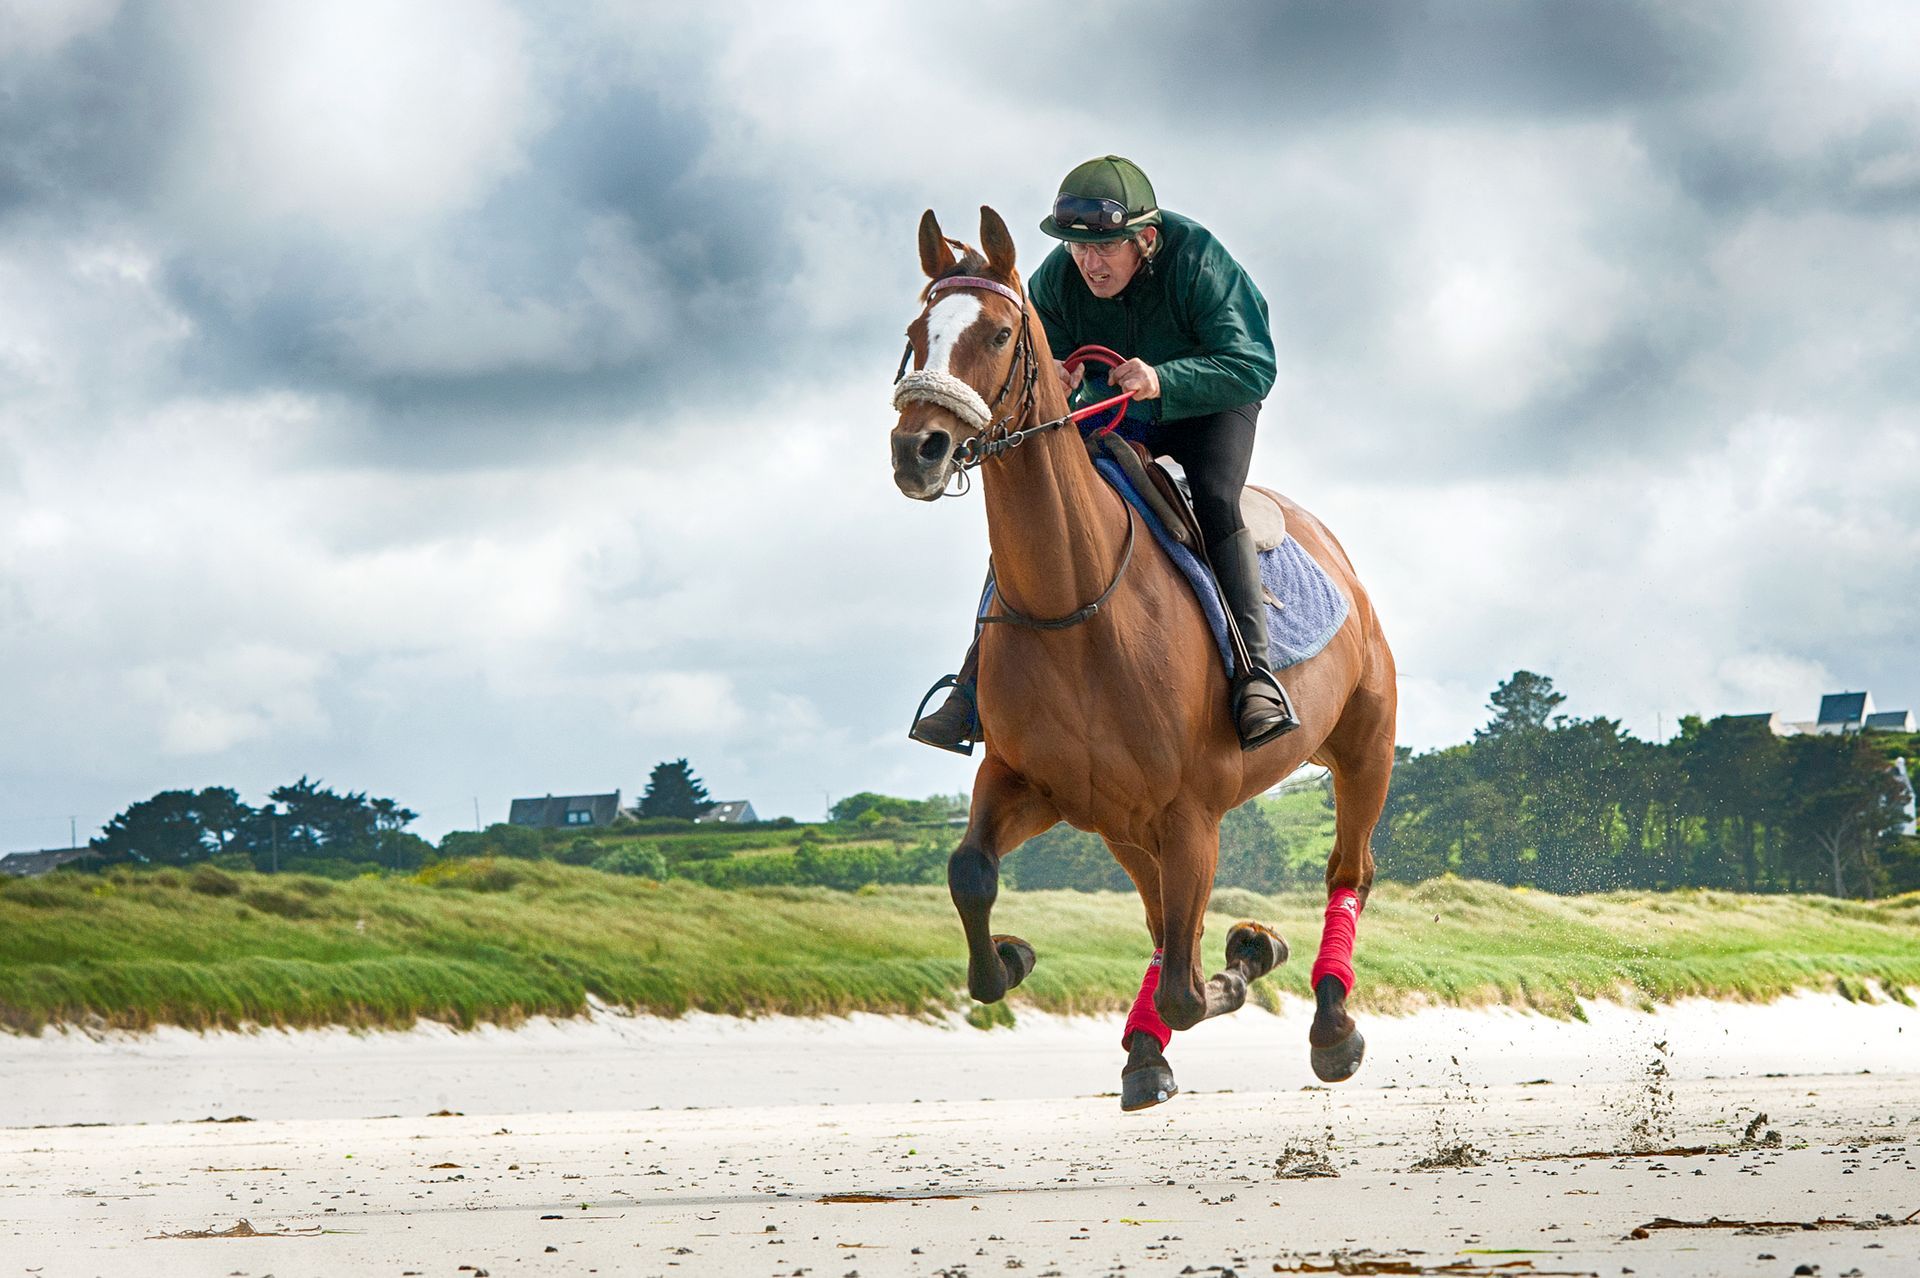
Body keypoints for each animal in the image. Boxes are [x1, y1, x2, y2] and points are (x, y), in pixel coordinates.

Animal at [888, 205, 1397, 1108]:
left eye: (998, 333)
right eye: (917, 334)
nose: (919, 451)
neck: (1078, 607)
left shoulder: (1191, 813)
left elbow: (1194, 989)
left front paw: (1251, 951)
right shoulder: (1029, 782)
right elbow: (971, 873)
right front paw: (1011, 956)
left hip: (1364, 747)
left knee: (1348, 873)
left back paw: (1332, 1024)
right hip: (1122, 822)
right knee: (1164, 923)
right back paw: (1143, 1051)